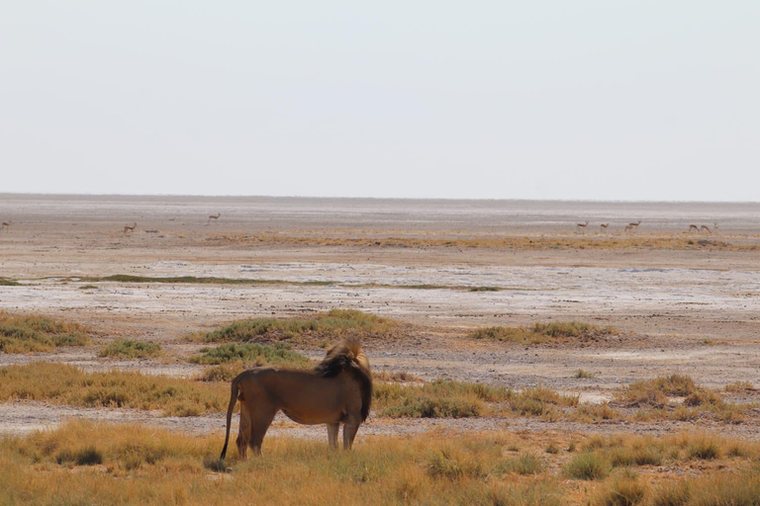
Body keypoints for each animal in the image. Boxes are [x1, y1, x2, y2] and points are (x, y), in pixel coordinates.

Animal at [219, 338, 372, 459]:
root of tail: (243, 374)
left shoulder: (333, 421)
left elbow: (333, 445)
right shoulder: (353, 419)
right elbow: (347, 445)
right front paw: (347, 459)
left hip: (246, 411)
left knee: (241, 441)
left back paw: (244, 462)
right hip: (263, 412)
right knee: (254, 441)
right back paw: (262, 462)